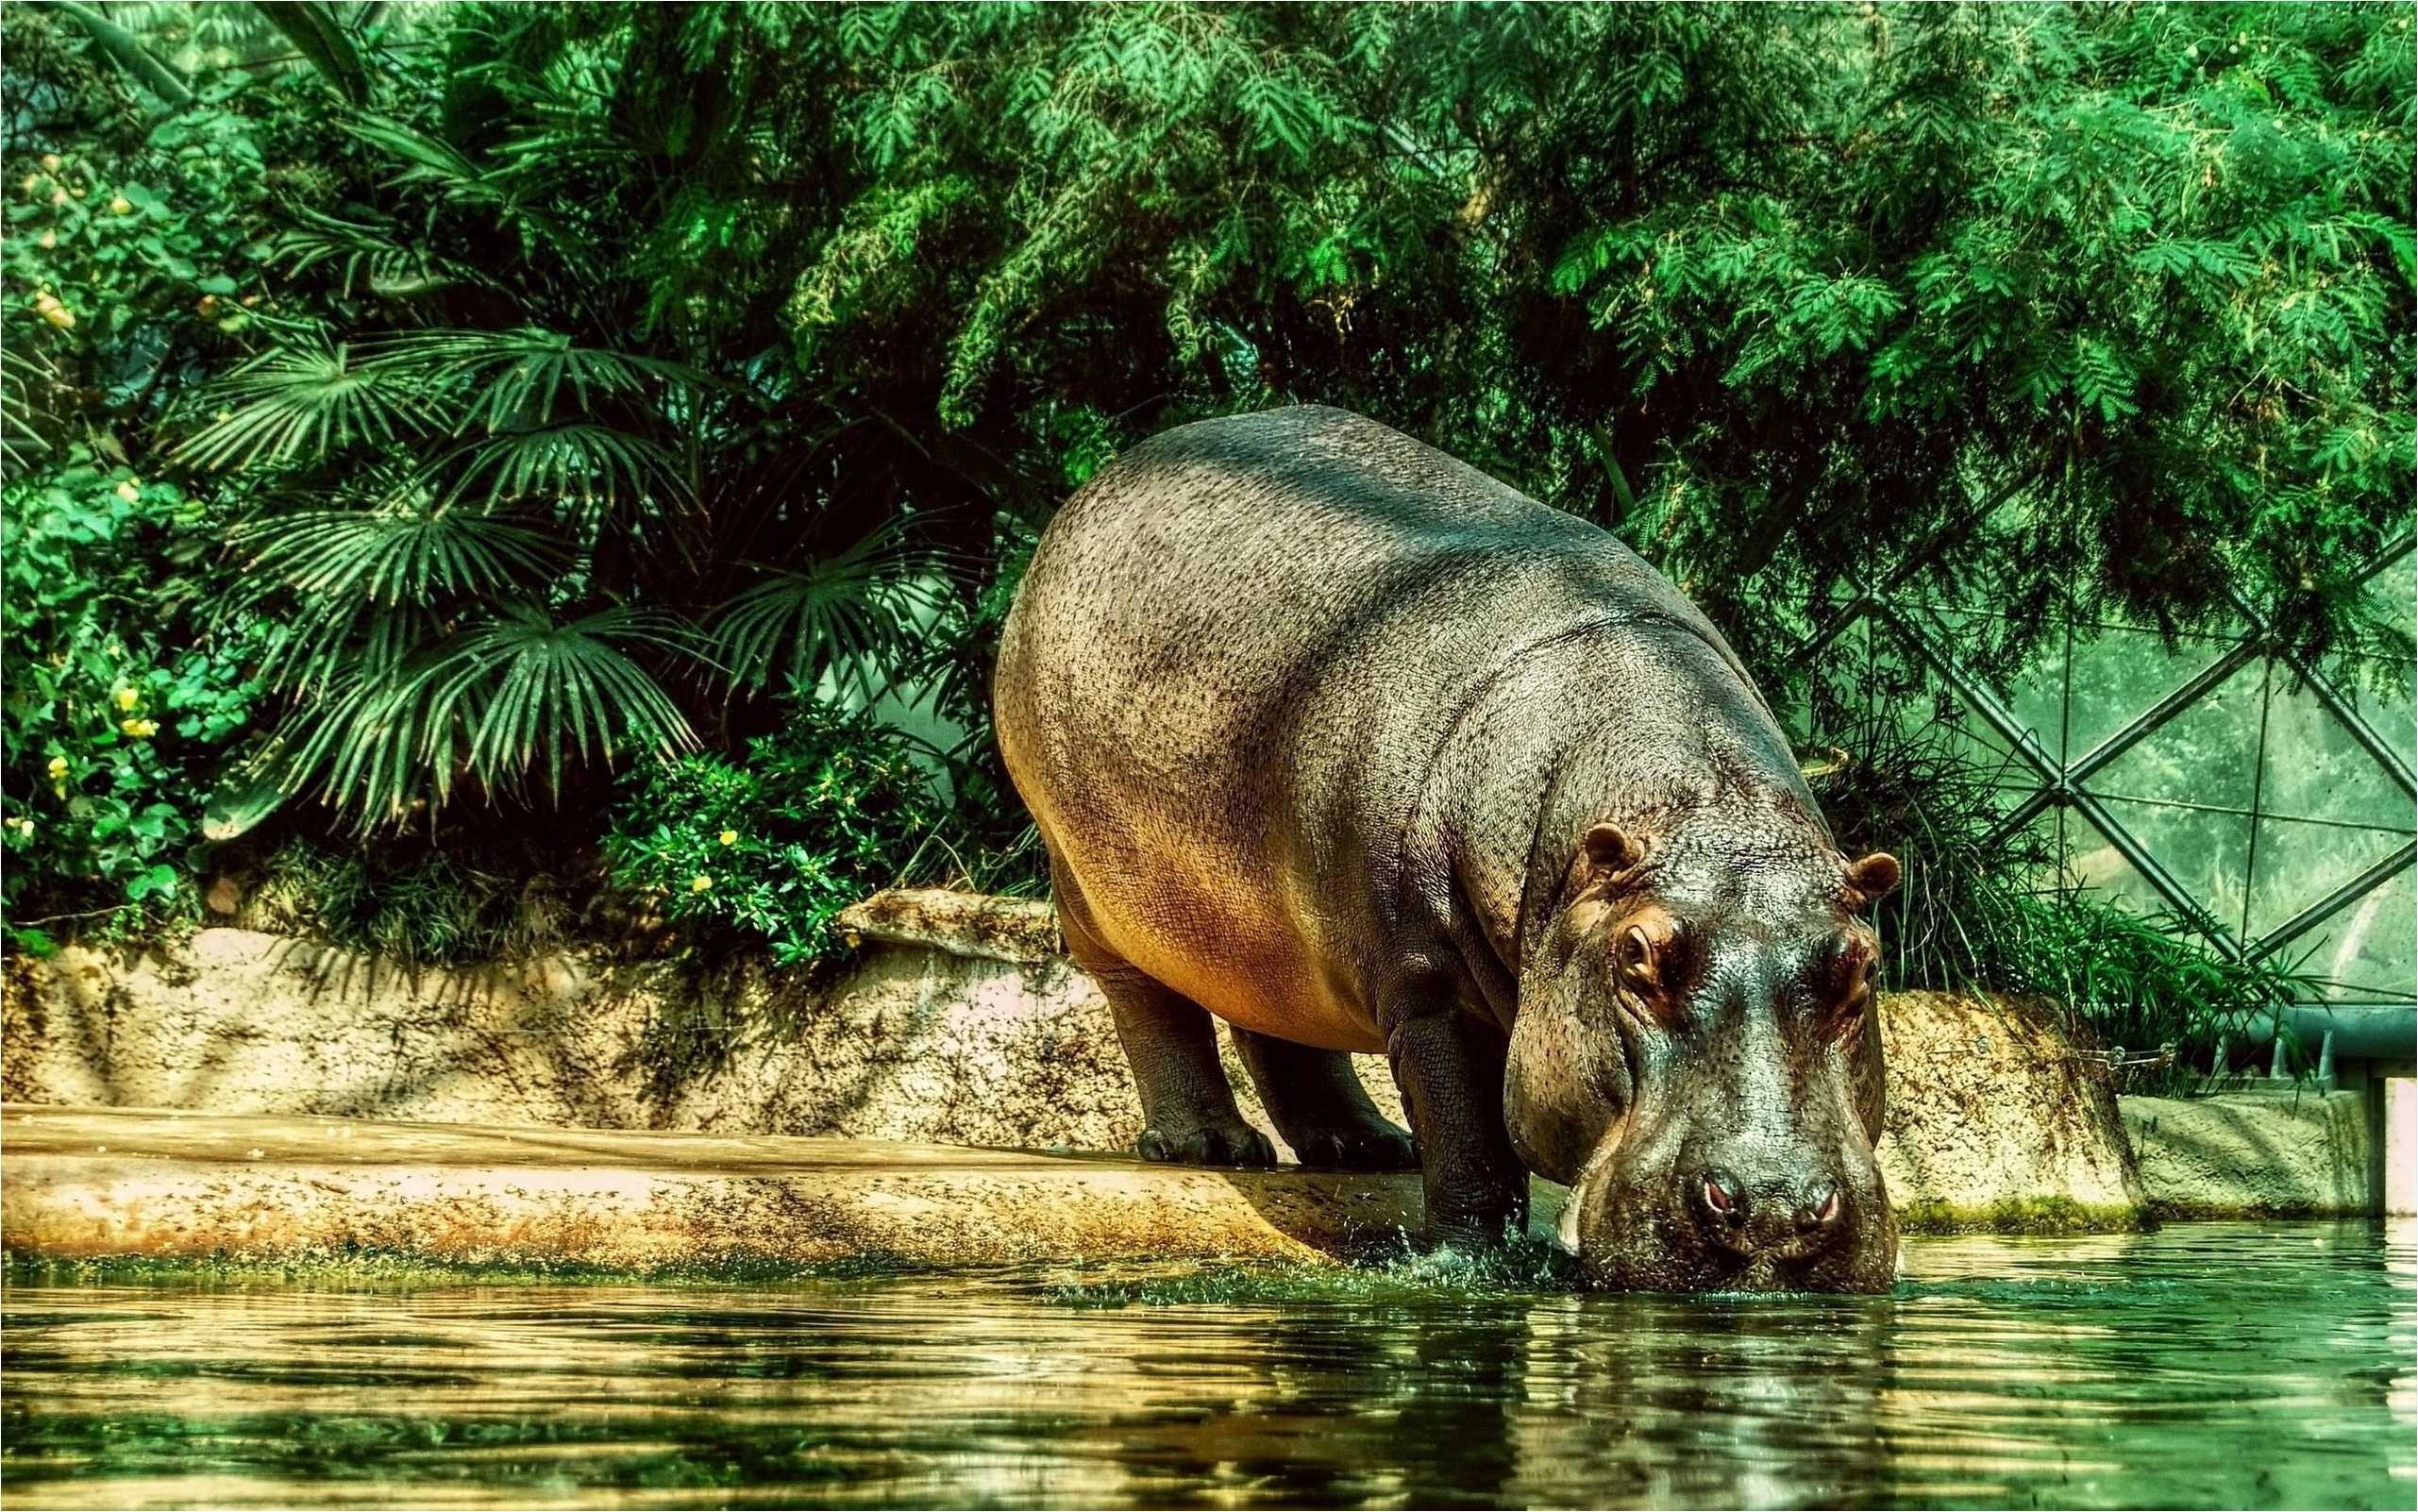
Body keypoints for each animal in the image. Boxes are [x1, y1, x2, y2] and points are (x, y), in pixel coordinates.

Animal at [993, 406, 1901, 1291]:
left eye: (1863, 965)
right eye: (1637, 956)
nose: (1772, 1210)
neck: (1697, 810)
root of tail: (1102, 484)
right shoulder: (1428, 987)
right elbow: (1468, 1140)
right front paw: (1471, 1264)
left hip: (1264, 921)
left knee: (1275, 1024)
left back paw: (1367, 1148)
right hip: (1091, 886)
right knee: (1150, 1006)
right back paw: (1210, 1146)